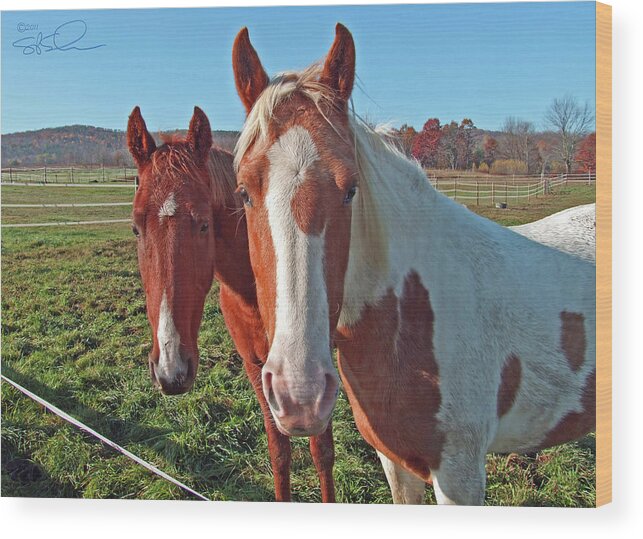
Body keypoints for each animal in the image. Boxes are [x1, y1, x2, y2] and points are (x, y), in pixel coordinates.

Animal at [127, 107, 338, 504]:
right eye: (136, 228)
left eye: (203, 224)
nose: (170, 370)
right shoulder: (256, 367)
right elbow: (279, 451)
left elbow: (322, 451)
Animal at [229, 25, 596, 506]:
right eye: (243, 192)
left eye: (350, 190)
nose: (300, 395)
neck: (415, 310)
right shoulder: (396, 462)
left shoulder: (460, 476)